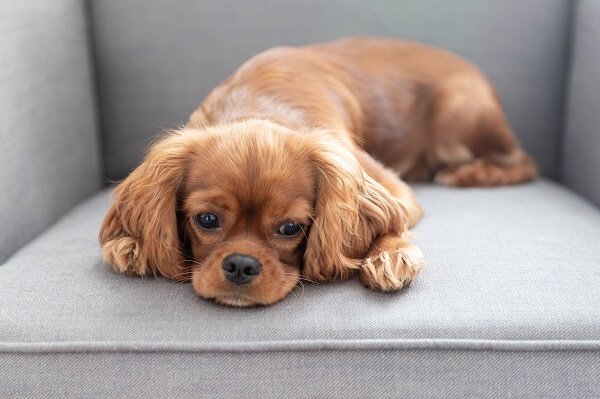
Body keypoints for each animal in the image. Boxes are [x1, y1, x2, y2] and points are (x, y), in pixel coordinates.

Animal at [99, 36, 540, 306]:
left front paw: (392, 256)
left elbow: (395, 220)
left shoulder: (388, 185)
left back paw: (466, 174)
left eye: (290, 228)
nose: (241, 265)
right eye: (206, 220)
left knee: (525, 163)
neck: (257, 106)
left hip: (457, 107)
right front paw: (131, 244)